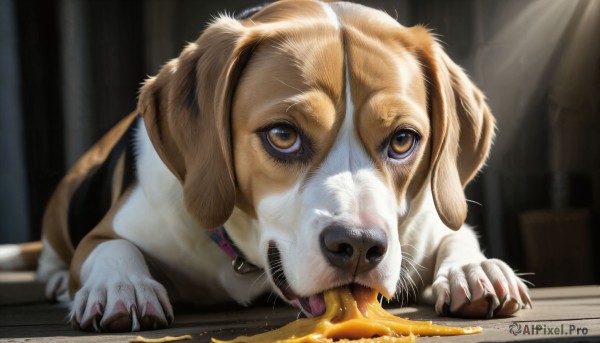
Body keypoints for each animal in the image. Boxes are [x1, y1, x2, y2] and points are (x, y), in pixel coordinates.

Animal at [37, 0, 528, 334]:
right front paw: (122, 287)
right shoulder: (107, 233)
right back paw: (60, 278)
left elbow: (459, 236)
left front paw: (476, 270)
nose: (358, 246)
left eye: (403, 140)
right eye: (282, 135)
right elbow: (112, 248)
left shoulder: (426, 229)